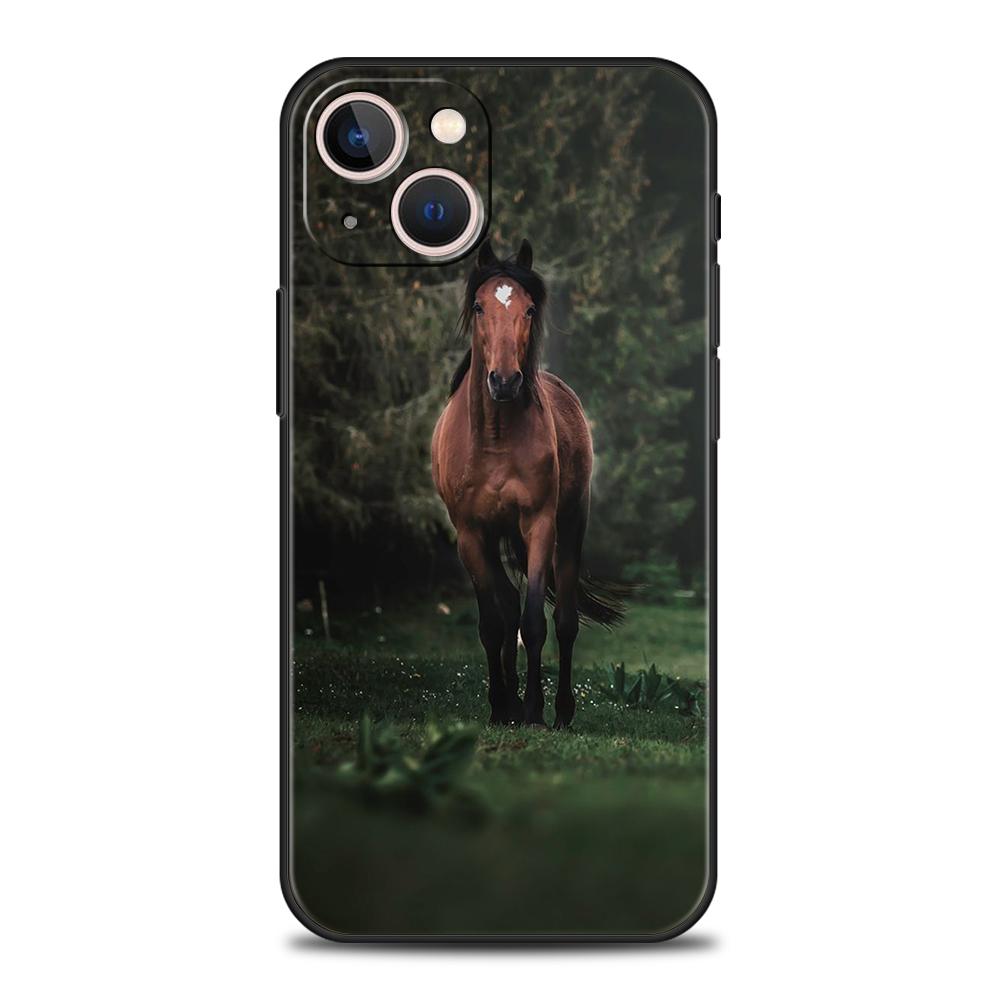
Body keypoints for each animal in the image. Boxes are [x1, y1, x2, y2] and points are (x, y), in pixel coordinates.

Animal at [431, 239, 624, 728]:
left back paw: (561, 712)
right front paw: (502, 706)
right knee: (505, 604)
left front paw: (534, 710)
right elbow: (493, 623)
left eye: (530, 308)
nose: (504, 380)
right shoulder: (471, 534)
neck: (495, 437)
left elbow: (535, 621)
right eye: (479, 307)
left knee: (565, 620)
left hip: (570, 526)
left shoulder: (539, 525)